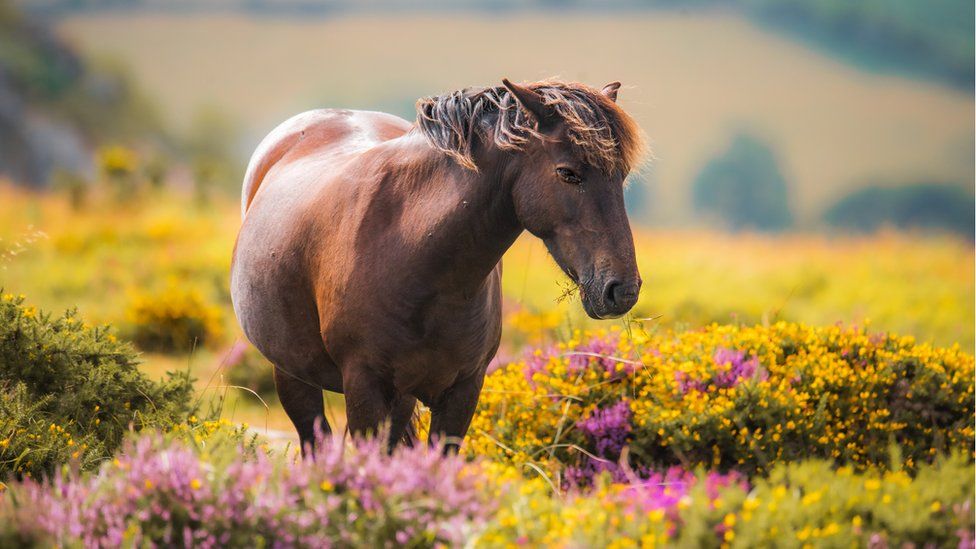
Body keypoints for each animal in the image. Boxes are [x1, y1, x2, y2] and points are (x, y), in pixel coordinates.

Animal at [232, 79, 644, 452]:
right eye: (567, 173)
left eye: (621, 177)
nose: (622, 290)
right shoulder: (364, 386)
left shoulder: (462, 392)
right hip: (293, 376)